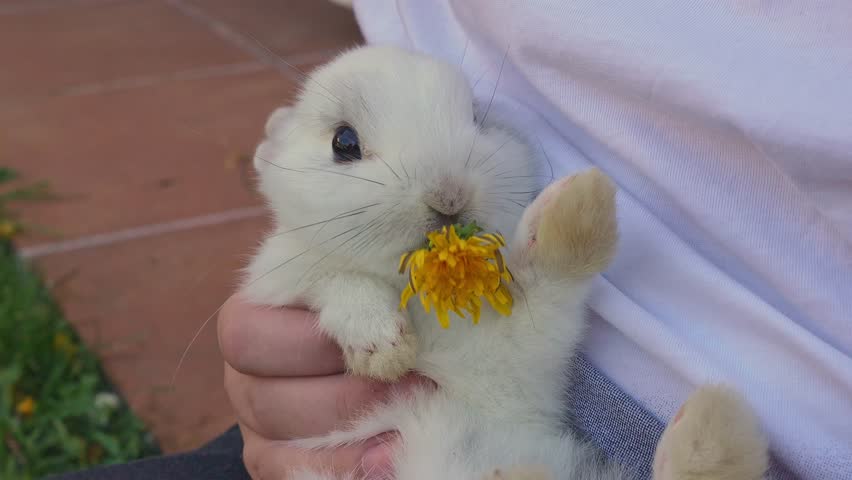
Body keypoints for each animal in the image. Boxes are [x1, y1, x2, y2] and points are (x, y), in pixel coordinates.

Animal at [241, 46, 769, 480]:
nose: (449, 194)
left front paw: (582, 199)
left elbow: (547, 298)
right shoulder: (283, 276)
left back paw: (713, 428)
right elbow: (338, 279)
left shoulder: (515, 361)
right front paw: (384, 348)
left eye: (478, 118)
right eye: (344, 142)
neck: (427, 299)